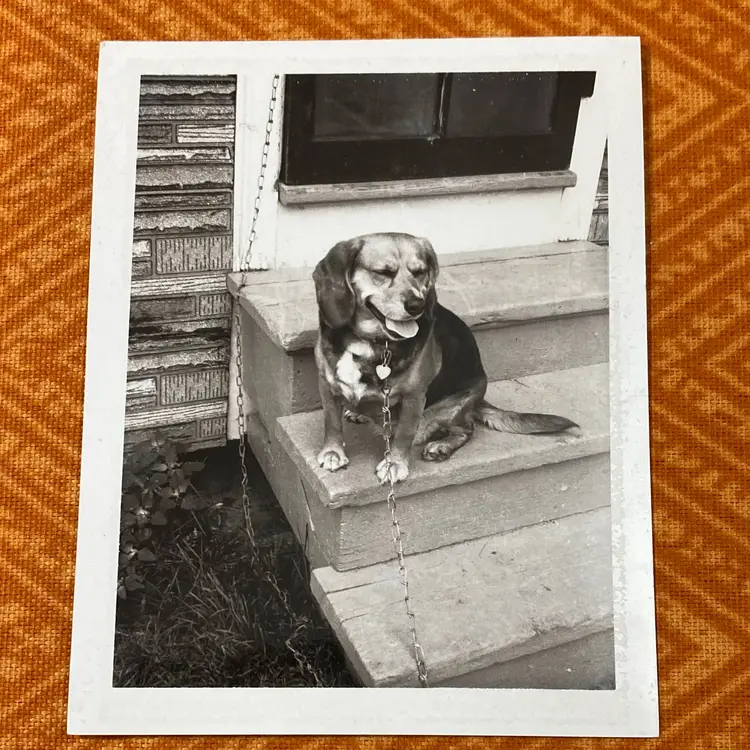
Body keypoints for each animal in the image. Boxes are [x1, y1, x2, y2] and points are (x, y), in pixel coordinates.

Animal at [312, 232, 578, 485]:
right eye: (383, 272)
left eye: (419, 272)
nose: (417, 305)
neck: (371, 343)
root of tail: (478, 399)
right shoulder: (326, 385)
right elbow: (332, 422)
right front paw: (333, 452)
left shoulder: (414, 398)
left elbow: (403, 436)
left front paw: (394, 464)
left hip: (447, 409)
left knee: (466, 429)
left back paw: (441, 446)